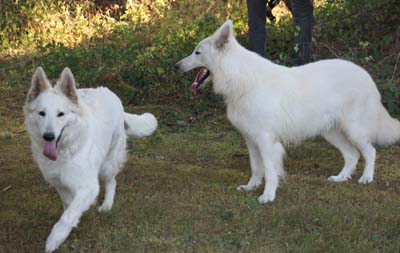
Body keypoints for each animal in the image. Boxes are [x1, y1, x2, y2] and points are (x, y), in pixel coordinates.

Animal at [23, 66, 158, 251]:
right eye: (42, 113)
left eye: (60, 114)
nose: (48, 136)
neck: (64, 151)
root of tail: (108, 92)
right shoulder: (60, 184)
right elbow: (68, 206)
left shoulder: (89, 186)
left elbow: (68, 215)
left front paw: (55, 239)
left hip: (108, 164)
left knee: (112, 182)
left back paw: (107, 205)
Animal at [177, 20, 400, 205]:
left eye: (197, 52)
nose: (176, 65)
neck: (240, 78)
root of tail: (366, 75)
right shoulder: (251, 140)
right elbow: (256, 168)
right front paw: (251, 187)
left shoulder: (266, 141)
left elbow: (269, 171)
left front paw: (268, 196)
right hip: (331, 132)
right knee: (352, 155)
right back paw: (341, 178)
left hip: (354, 130)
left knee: (370, 152)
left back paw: (366, 178)